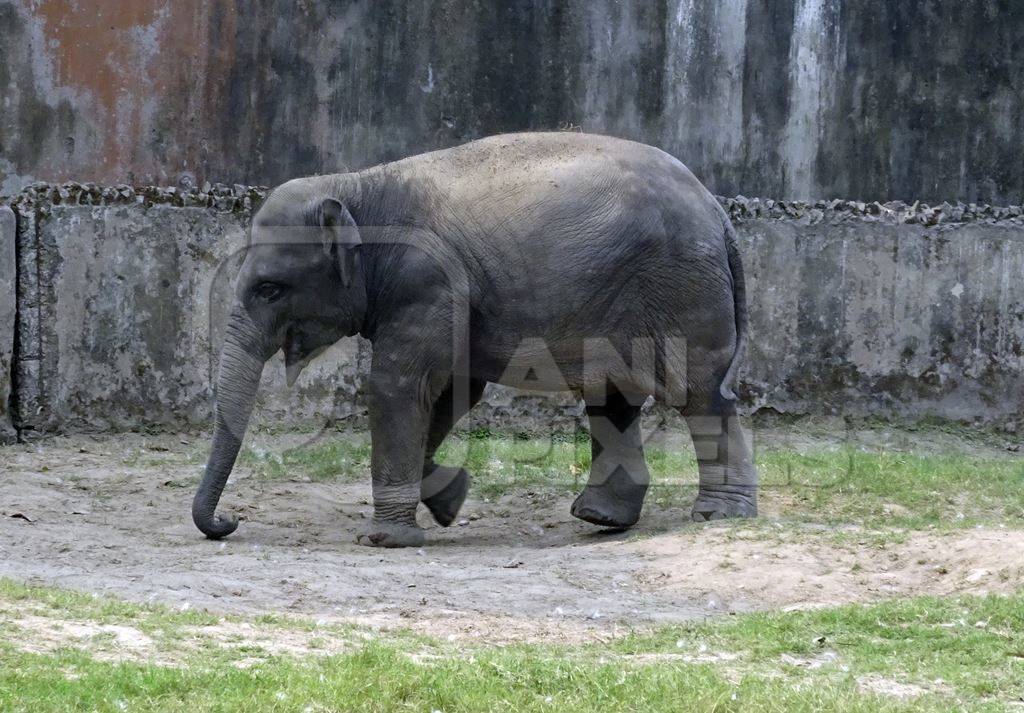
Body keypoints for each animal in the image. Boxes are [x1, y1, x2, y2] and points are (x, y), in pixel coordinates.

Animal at [192, 132, 757, 544]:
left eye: (269, 289)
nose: (231, 522)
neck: (357, 186)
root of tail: (717, 209)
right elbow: (451, 391)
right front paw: (449, 501)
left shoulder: (429, 281)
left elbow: (399, 385)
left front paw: (386, 539)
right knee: (612, 398)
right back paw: (602, 519)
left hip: (682, 289)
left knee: (698, 394)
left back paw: (718, 515)